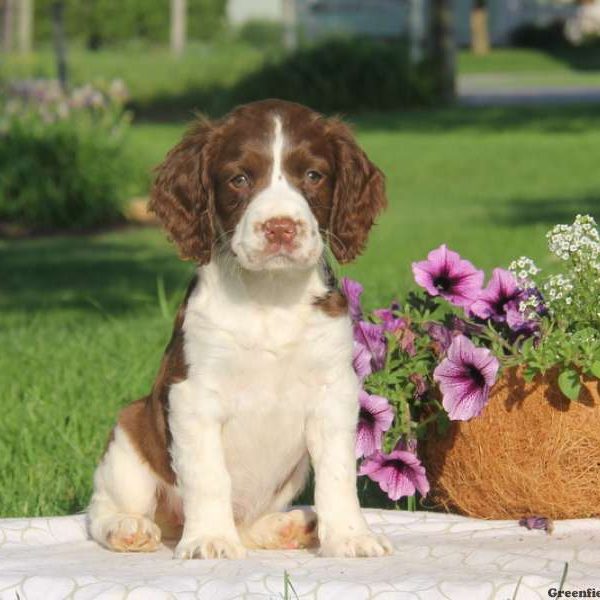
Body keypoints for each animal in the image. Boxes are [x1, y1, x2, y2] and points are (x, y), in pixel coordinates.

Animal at [86, 97, 392, 556]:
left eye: (314, 175)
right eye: (239, 179)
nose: (280, 228)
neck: (269, 296)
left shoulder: (333, 391)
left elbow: (338, 476)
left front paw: (350, 537)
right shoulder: (193, 394)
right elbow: (208, 475)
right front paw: (209, 539)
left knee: (247, 523)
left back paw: (288, 527)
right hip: (130, 431)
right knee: (103, 509)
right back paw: (127, 528)